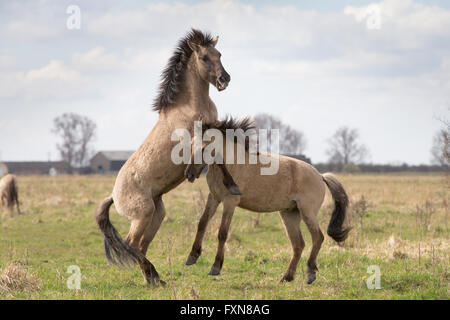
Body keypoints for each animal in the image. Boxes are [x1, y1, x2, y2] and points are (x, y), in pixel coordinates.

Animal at [95, 29, 236, 284]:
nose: (224, 80)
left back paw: (154, 279)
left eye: (219, 54)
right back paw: (153, 276)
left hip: (157, 213)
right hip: (143, 215)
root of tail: (114, 195)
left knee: (141, 245)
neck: (190, 107)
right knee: (132, 244)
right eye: (204, 58)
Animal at [185, 119, 352, 284]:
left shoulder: (229, 202)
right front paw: (192, 257)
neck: (233, 164)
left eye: (203, 148)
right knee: (298, 244)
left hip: (308, 213)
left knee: (318, 238)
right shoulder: (214, 197)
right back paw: (286, 277)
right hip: (289, 215)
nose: (189, 174)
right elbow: (202, 223)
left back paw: (310, 274)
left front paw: (215, 267)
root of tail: (320, 176)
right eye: (191, 145)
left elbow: (222, 233)